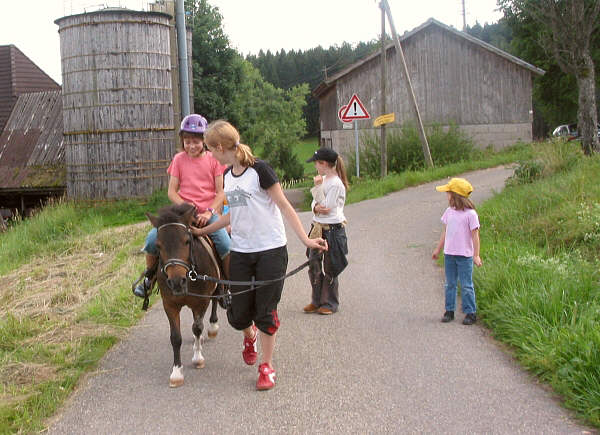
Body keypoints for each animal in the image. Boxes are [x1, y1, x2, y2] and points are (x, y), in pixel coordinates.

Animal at [147, 204, 223, 388]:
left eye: (187, 241)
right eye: (158, 245)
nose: (176, 282)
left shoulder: (201, 302)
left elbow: (197, 327)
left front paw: (197, 358)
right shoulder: (170, 305)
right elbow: (175, 338)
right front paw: (176, 373)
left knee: (215, 300)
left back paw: (212, 327)